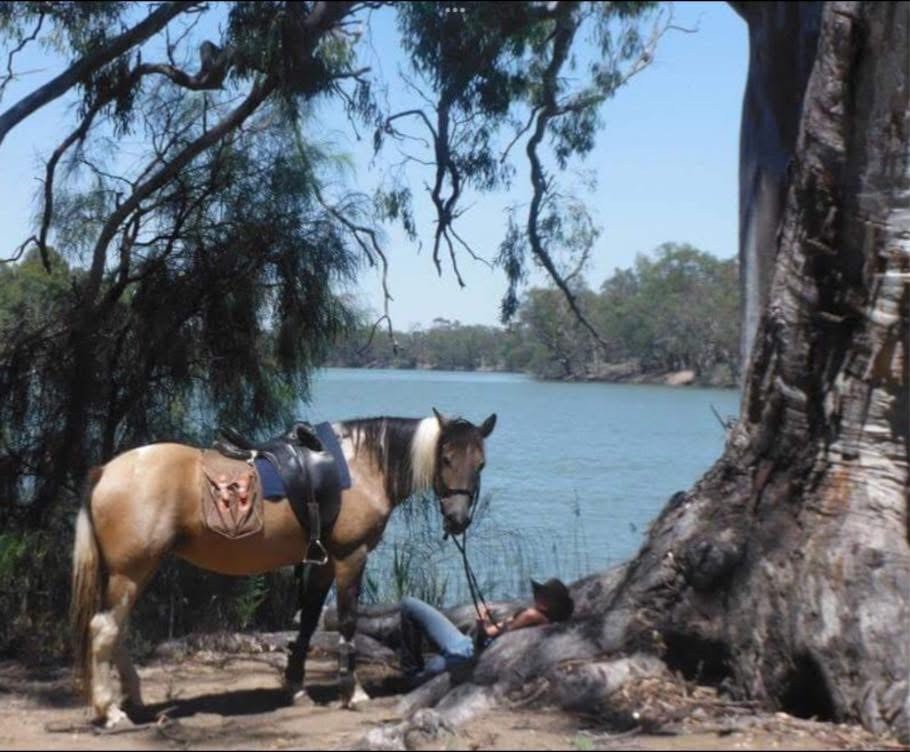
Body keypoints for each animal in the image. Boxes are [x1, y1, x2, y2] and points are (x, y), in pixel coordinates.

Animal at [70, 408, 496, 727]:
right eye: (445, 458)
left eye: (481, 463)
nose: (458, 519)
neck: (363, 466)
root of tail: (106, 471)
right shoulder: (350, 557)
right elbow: (347, 622)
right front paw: (352, 692)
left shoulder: (322, 562)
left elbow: (307, 622)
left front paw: (296, 687)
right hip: (130, 572)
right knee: (104, 629)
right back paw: (110, 711)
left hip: (135, 572)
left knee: (117, 630)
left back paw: (133, 699)